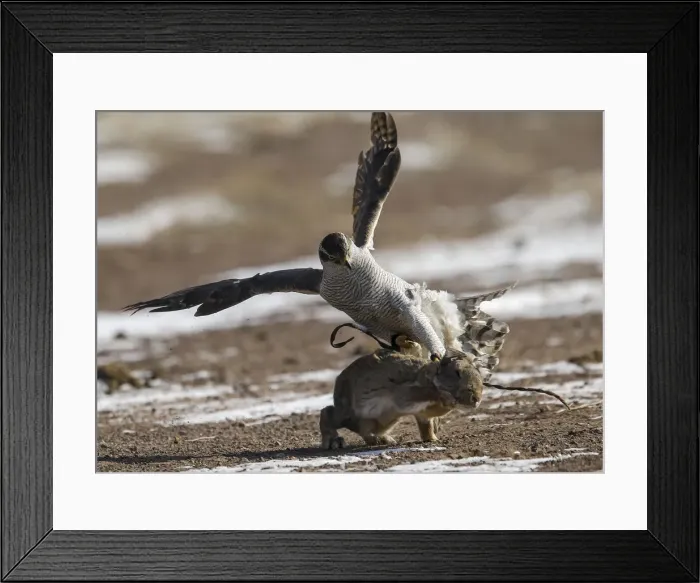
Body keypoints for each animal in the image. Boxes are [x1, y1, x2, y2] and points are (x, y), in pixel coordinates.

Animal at [319, 348, 483, 449]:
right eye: (457, 372)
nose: (476, 398)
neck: (432, 378)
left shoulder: (423, 415)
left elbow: (426, 426)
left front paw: (433, 439)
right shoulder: (407, 395)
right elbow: (422, 394)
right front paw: (446, 397)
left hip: (383, 421)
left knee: (365, 433)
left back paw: (383, 440)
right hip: (349, 414)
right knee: (328, 413)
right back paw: (334, 442)